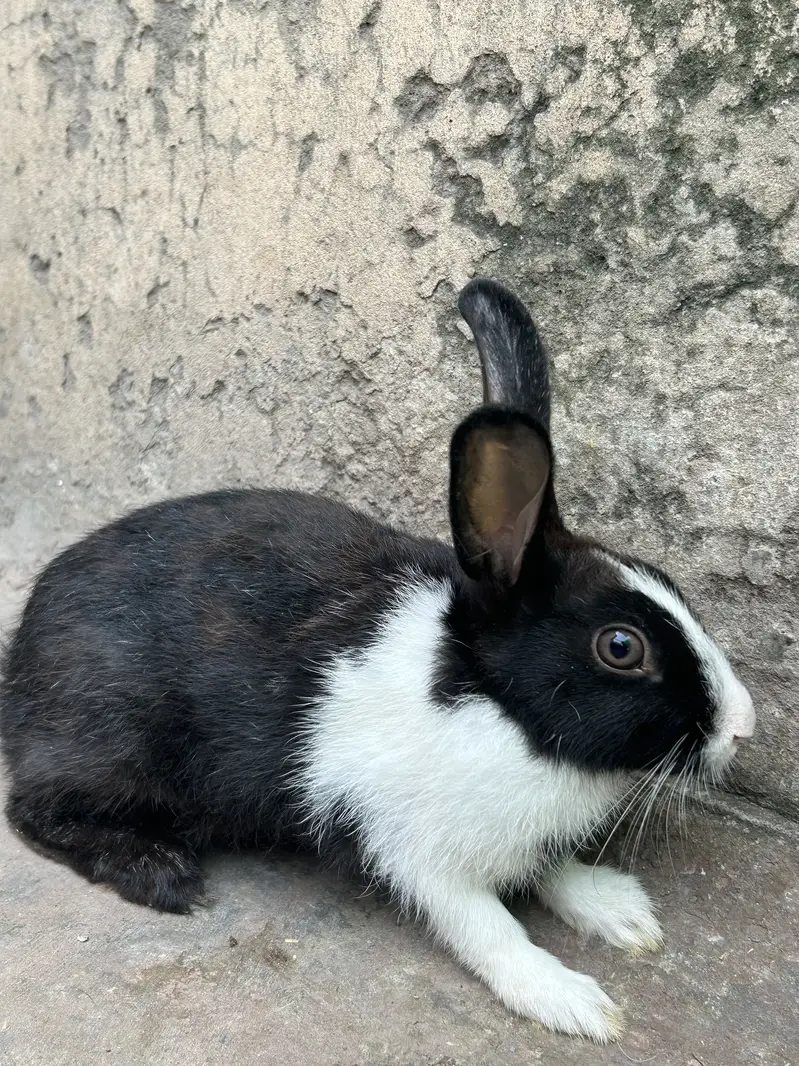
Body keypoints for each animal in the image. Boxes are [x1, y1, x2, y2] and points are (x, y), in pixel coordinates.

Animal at [0, 278, 755, 1042]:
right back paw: (160, 872)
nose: (742, 728)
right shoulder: (415, 851)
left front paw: (620, 911)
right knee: (35, 812)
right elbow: (489, 929)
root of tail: (21, 653)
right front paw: (572, 1001)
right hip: (111, 743)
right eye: (621, 647)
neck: (504, 716)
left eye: (665, 579)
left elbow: (550, 868)